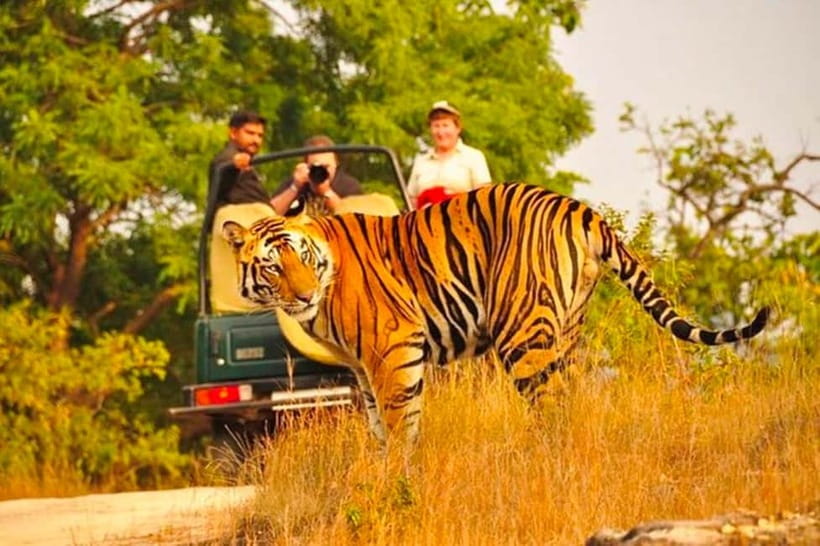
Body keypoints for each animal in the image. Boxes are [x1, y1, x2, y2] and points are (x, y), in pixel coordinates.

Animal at [221, 183, 769, 446]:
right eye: (273, 266)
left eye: (301, 257)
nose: (303, 295)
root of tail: (581, 208)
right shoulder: (362, 368)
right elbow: (379, 425)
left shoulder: (393, 349)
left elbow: (400, 424)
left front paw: (397, 482)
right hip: (566, 329)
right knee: (572, 399)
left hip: (522, 333)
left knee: (551, 406)